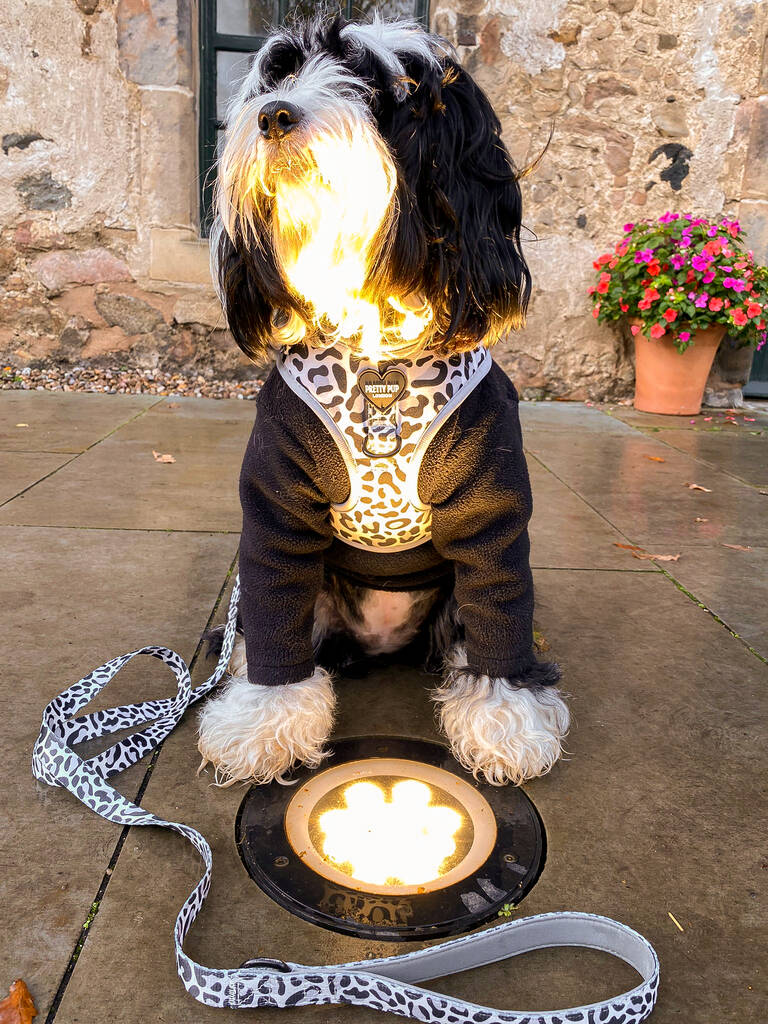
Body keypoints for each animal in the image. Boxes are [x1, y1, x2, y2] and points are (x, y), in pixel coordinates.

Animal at [198, 12, 573, 786]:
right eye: (280, 72)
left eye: (372, 85)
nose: (274, 114)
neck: (376, 345)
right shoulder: (276, 511)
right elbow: (273, 615)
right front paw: (265, 719)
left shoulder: (492, 512)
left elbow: (500, 611)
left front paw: (505, 718)